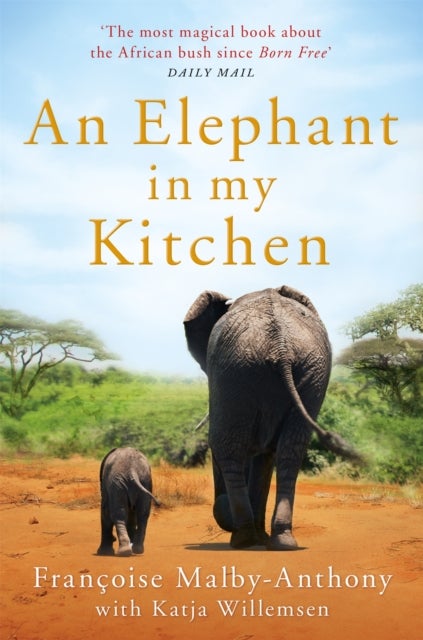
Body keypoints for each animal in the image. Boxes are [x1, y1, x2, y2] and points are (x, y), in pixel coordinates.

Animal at [184, 285, 360, 551]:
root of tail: (281, 347)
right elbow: (265, 456)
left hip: (237, 370)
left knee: (228, 446)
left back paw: (245, 539)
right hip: (308, 372)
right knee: (291, 450)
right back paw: (280, 540)